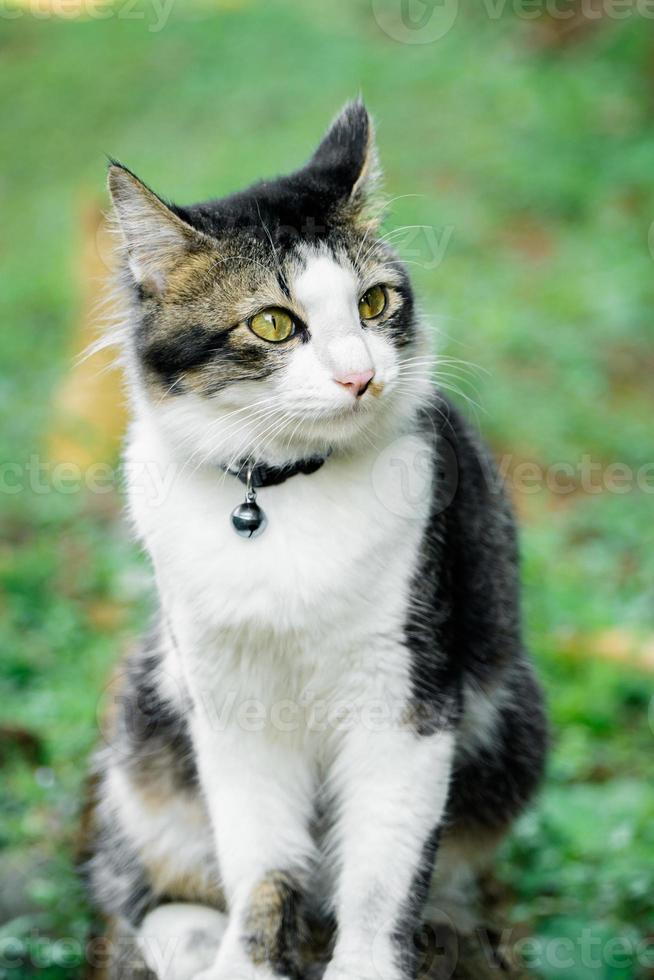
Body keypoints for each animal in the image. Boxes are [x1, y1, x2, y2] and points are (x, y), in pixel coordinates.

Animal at [86, 101, 548, 980]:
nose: (360, 376)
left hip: (516, 724)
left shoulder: (405, 702)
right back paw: (188, 939)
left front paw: (367, 964)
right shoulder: (228, 706)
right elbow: (261, 866)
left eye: (373, 303)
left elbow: (378, 878)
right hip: (144, 718)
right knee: (133, 875)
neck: (275, 495)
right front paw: (243, 963)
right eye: (273, 323)